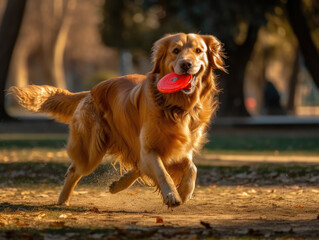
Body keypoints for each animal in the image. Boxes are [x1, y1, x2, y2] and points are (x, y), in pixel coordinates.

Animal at [9, 32, 225, 207]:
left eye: (198, 51)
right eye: (176, 50)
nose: (186, 64)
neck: (176, 107)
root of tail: (90, 91)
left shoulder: (180, 148)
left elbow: (191, 168)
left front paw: (184, 192)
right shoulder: (150, 148)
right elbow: (162, 172)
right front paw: (172, 195)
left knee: (138, 166)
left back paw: (117, 185)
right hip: (91, 151)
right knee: (74, 170)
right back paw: (63, 200)